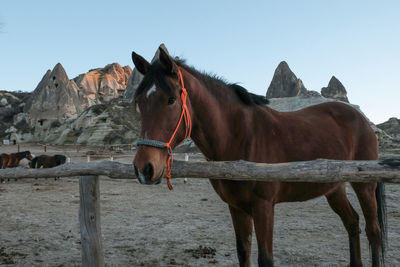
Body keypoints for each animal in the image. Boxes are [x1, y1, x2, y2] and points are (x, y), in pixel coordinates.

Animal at [130, 45, 386, 266]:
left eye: (171, 99)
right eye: (139, 102)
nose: (144, 168)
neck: (240, 136)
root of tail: (361, 119)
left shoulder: (263, 207)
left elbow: (265, 259)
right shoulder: (237, 208)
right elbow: (243, 253)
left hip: (364, 186)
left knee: (373, 231)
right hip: (334, 189)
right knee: (352, 223)